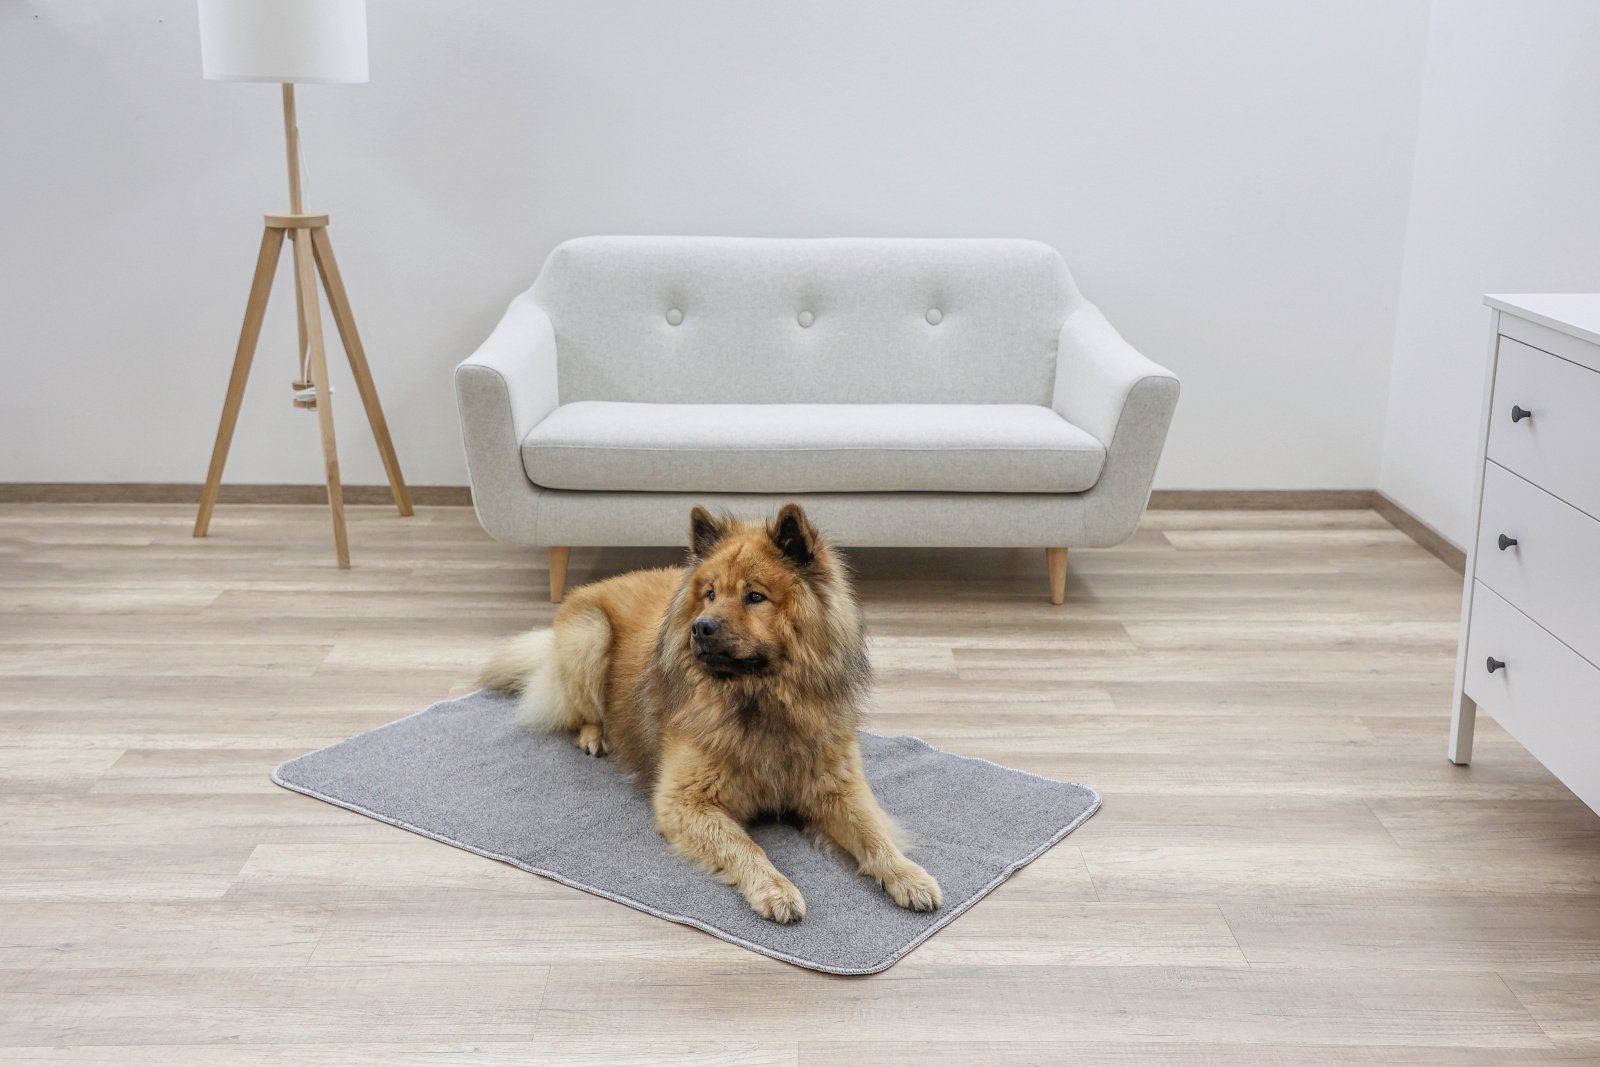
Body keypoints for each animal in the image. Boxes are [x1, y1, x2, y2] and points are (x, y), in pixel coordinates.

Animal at [480, 503, 941, 923]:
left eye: (755, 596)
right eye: (711, 594)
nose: (701, 627)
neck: (761, 700)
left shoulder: (836, 787)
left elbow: (874, 834)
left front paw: (908, 876)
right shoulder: (686, 801)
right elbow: (744, 844)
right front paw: (774, 888)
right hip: (590, 636)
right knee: (580, 710)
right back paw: (596, 735)